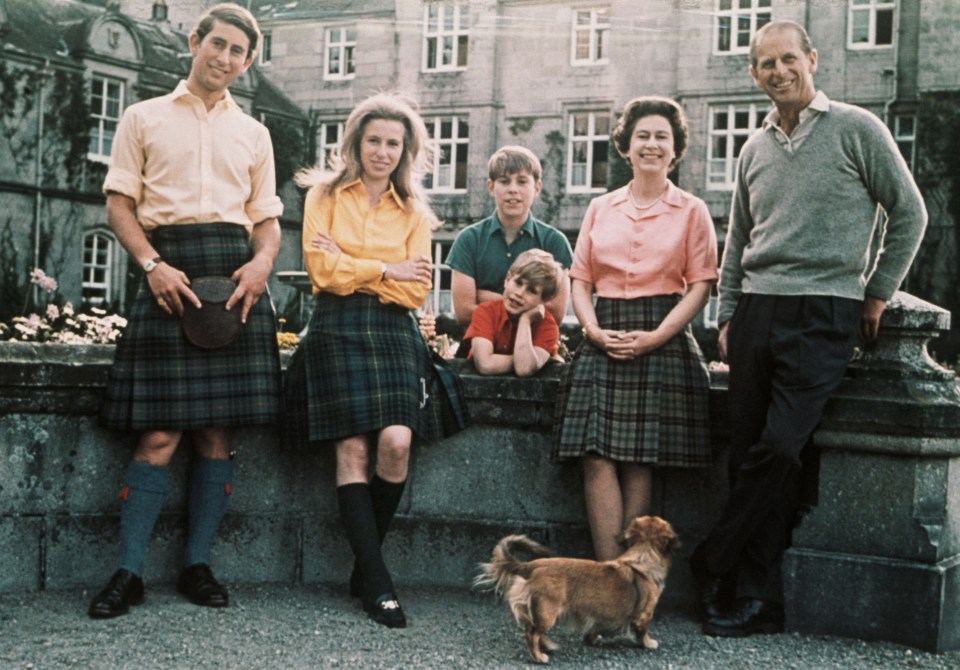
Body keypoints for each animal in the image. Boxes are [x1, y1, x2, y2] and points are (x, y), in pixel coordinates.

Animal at [476, 516, 680, 664]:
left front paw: (592, 640)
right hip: (548, 612)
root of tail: (531, 565)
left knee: (531, 628)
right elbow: (643, 631)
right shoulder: (645, 614)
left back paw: (548, 646)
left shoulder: (600, 617)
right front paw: (648, 643)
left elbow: (594, 629)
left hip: (541, 611)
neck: (642, 556)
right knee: (531, 633)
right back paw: (539, 657)